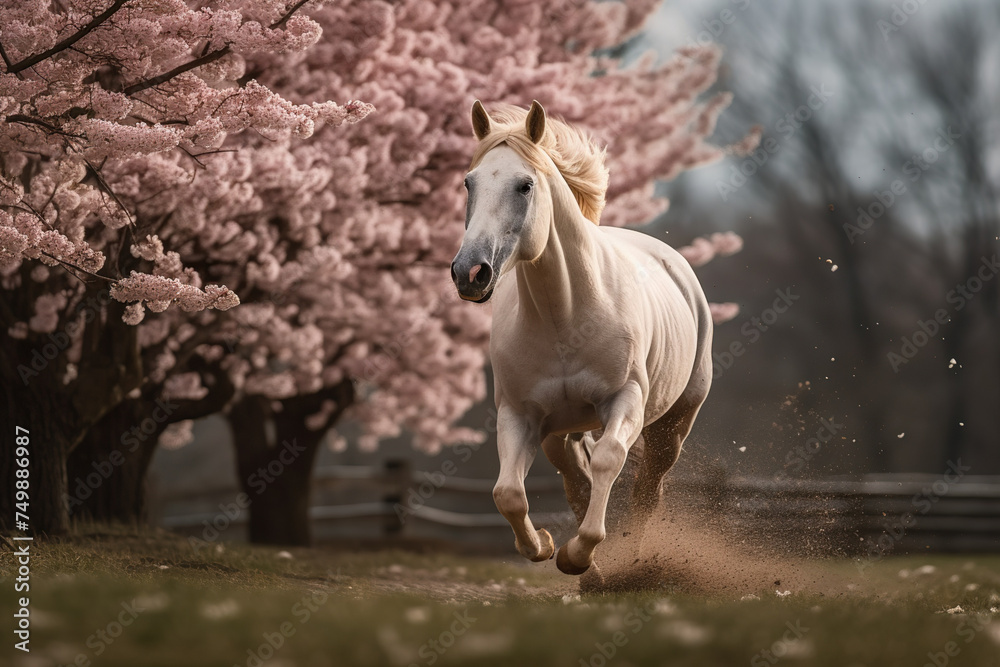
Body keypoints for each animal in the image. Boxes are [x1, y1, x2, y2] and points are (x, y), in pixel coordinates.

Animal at [450, 100, 713, 579]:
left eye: (525, 185)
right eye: (468, 182)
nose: (470, 272)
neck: (566, 317)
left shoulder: (625, 401)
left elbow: (609, 460)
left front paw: (579, 553)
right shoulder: (521, 415)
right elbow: (508, 492)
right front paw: (547, 546)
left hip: (672, 426)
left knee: (646, 491)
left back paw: (627, 564)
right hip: (561, 434)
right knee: (577, 481)